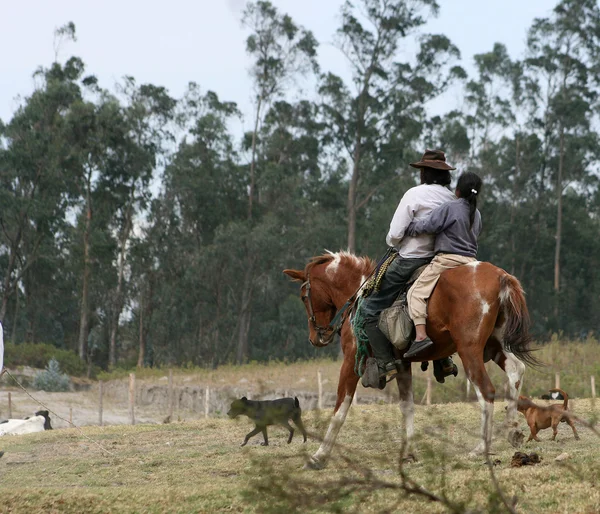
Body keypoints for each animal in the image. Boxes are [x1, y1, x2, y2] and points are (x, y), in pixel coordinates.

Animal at [284, 251, 536, 468]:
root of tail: (500, 276)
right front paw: (410, 453)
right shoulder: (401, 365)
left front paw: (319, 456)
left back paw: (480, 447)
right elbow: (407, 406)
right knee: (516, 370)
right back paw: (512, 429)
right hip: (494, 345)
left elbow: (340, 410)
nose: (316, 337)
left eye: (303, 297)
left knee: (486, 391)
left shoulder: (351, 362)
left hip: (470, 350)